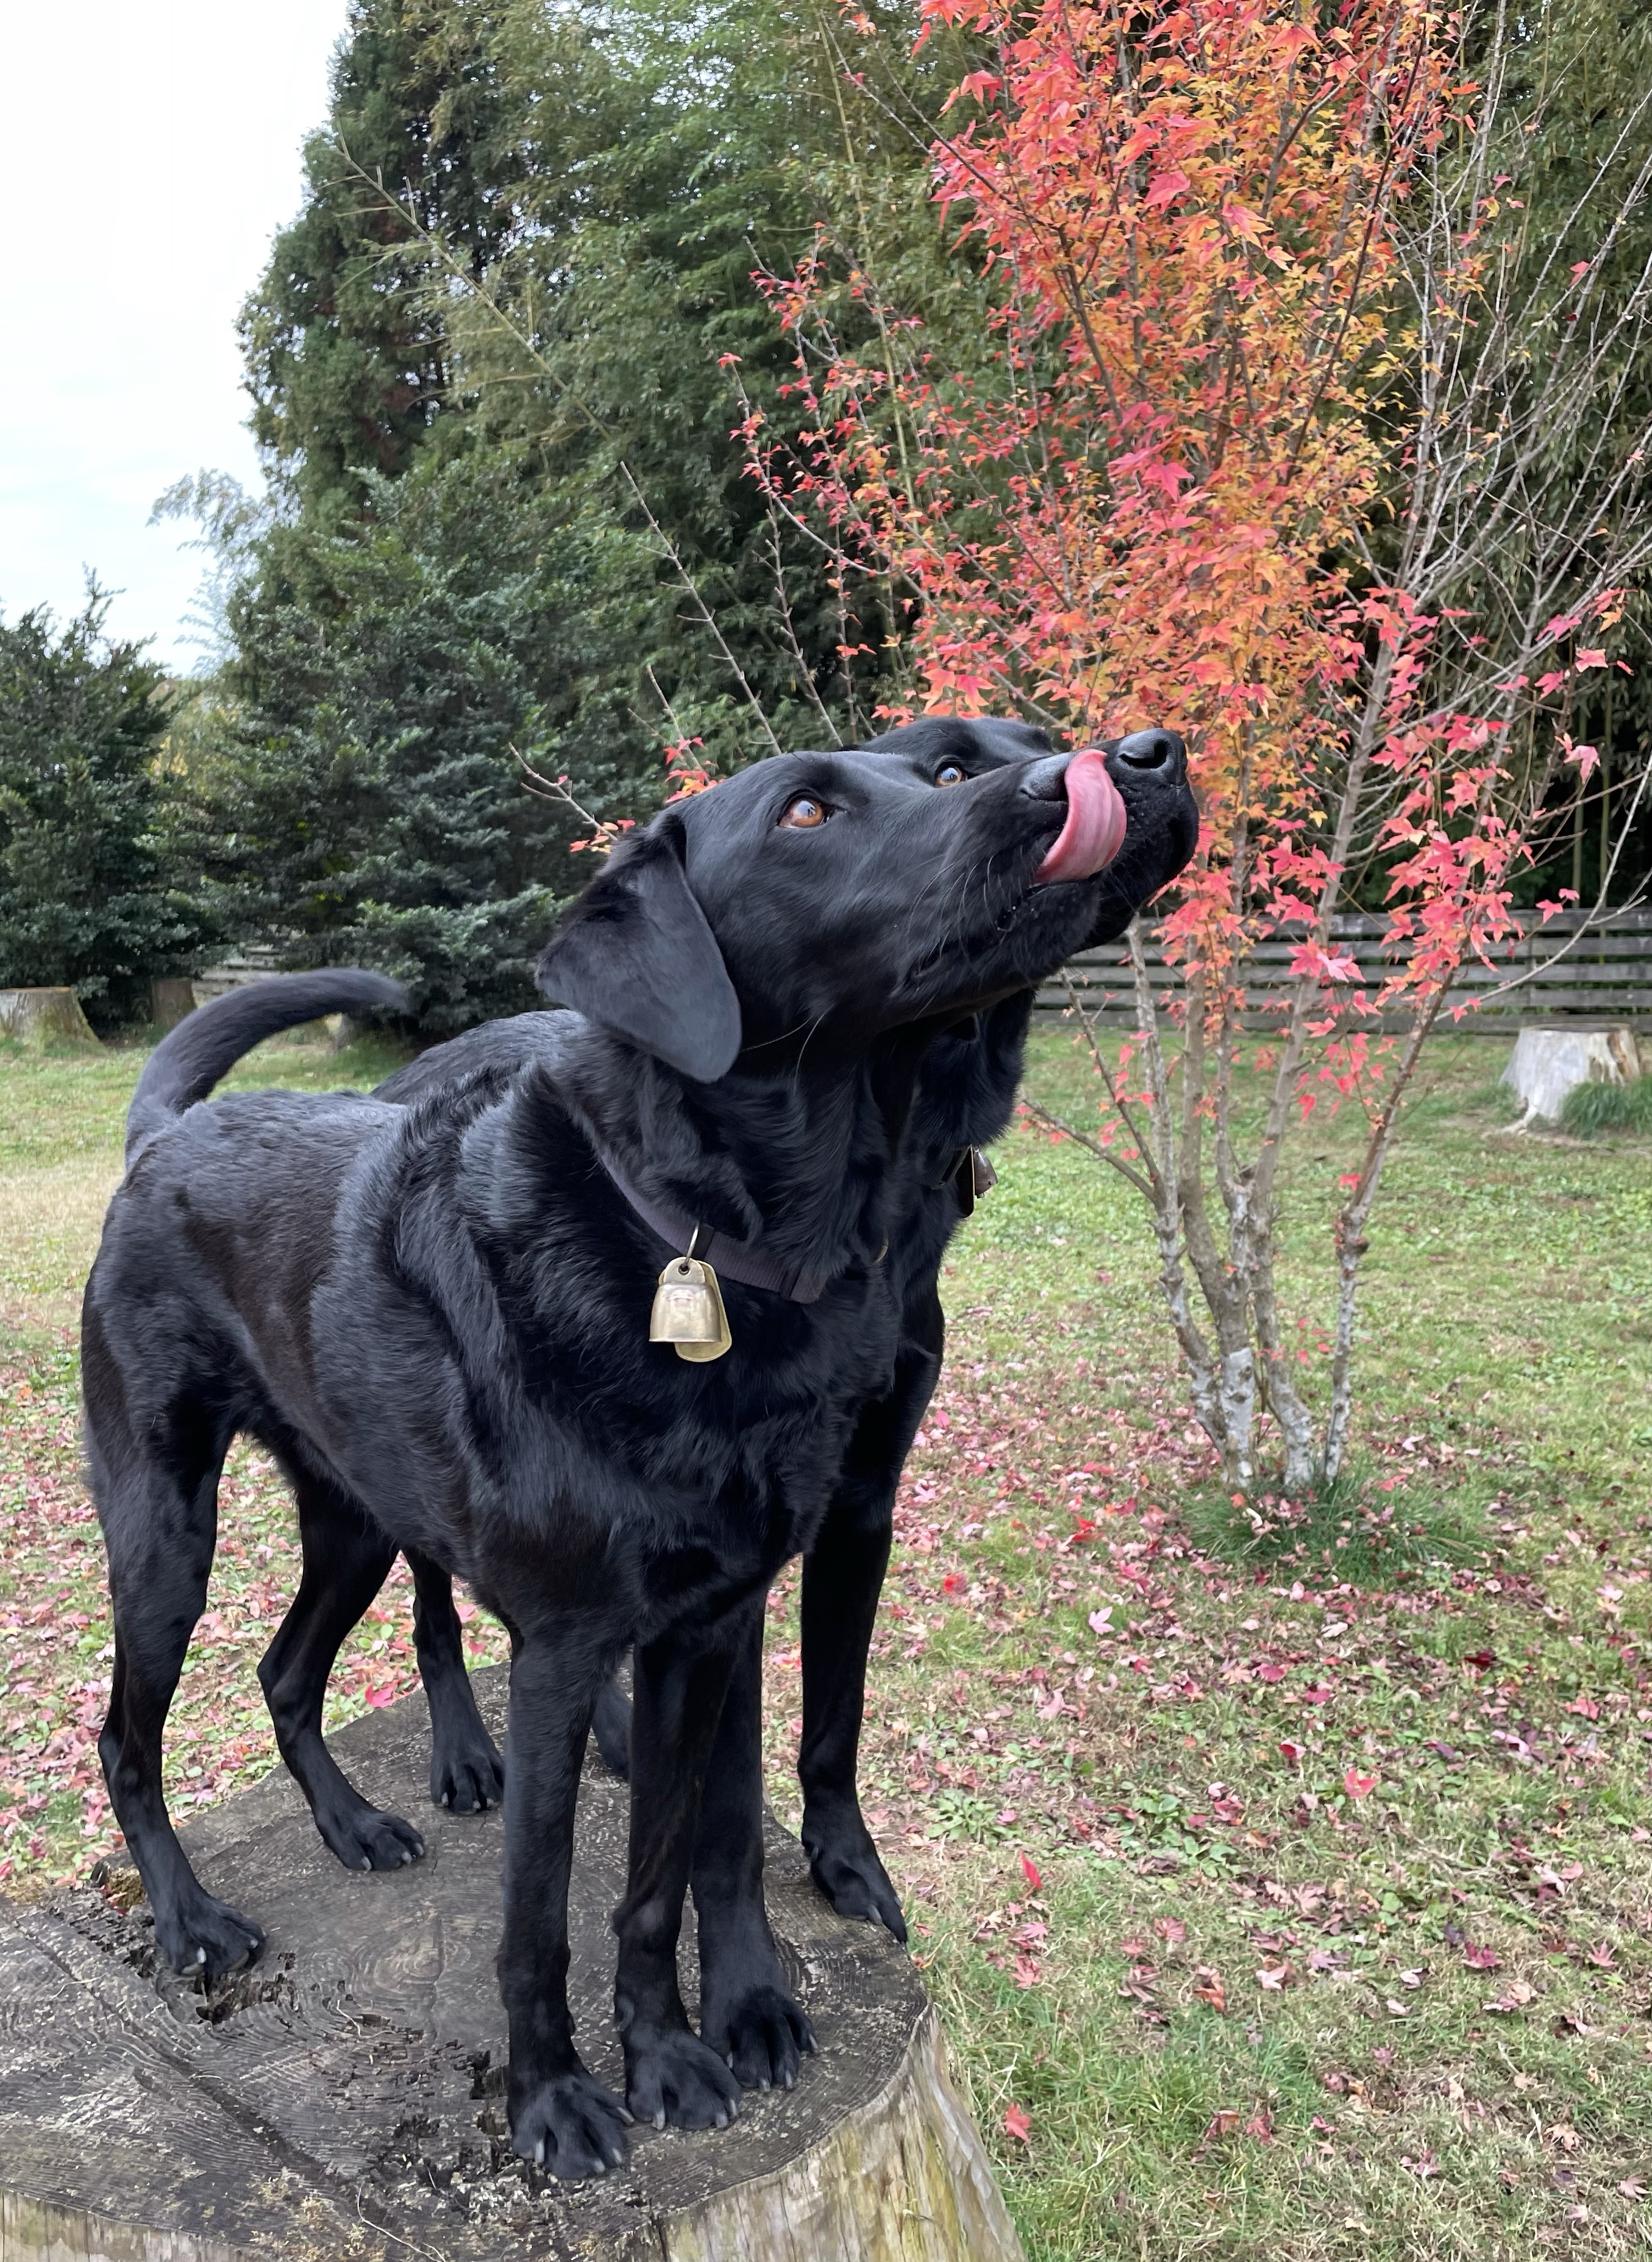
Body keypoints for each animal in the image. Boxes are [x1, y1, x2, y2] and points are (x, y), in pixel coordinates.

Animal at [368, 717, 1196, 1947]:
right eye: (807, 813)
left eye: (950, 774)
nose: (1142, 757)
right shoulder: (744, 1559)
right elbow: (725, 1791)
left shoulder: (857, 1508)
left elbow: (832, 1718)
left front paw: (845, 1860)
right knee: (439, 1595)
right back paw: (469, 1748)